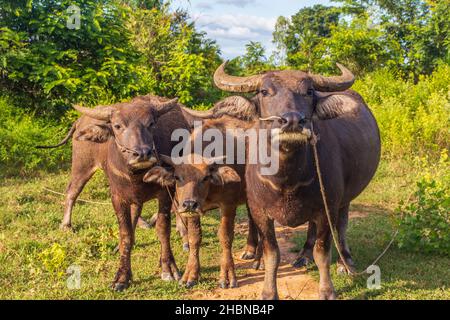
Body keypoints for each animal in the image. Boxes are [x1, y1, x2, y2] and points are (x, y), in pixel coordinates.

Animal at [206, 63, 382, 300]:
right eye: (264, 91)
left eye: (309, 91)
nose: (291, 121)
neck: (287, 180)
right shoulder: (260, 211)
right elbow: (272, 253)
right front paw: (269, 291)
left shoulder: (327, 207)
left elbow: (322, 252)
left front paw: (327, 290)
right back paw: (303, 255)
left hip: (344, 199)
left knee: (342, 225)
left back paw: (345, 262)